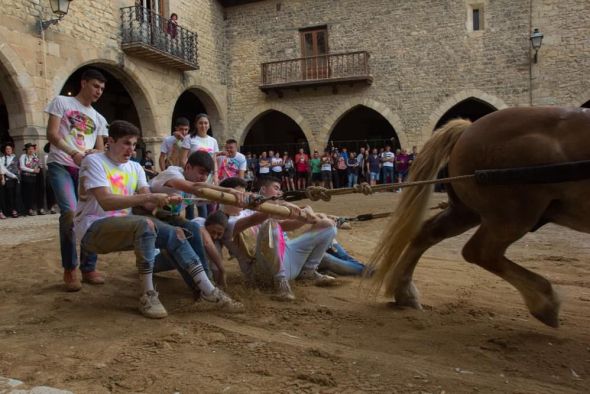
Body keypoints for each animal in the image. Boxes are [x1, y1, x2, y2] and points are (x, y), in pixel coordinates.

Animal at [372, 107, 590, 326]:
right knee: (480, 252)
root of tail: (469, 128)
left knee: (428, 233)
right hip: (513, 214)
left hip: (468, 211)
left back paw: (405, 293)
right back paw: (545, 302)